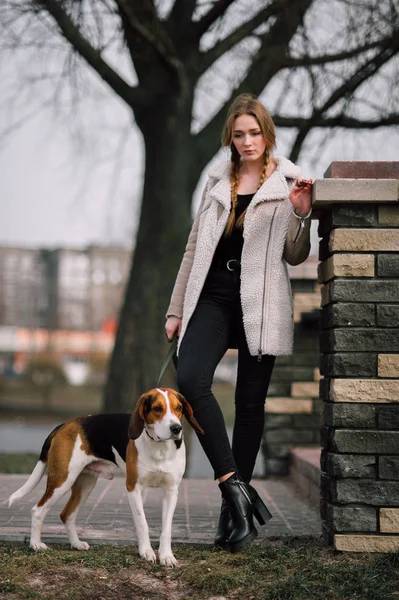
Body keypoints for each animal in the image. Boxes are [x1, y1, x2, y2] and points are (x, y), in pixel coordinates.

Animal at [7, 390, 205, 568]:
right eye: (157, 408)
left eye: (179, 408)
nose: (176, 429)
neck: (159, 447)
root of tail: (65, 424)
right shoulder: (133, 488)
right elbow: (142, 523)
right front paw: (146, 552)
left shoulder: (171, 491)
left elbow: (167, 528)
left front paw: (166, 556)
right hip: (62, 481)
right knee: (37, 510)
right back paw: (35, 545)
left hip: (85, 484)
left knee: (67, 514)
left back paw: (76, 544)